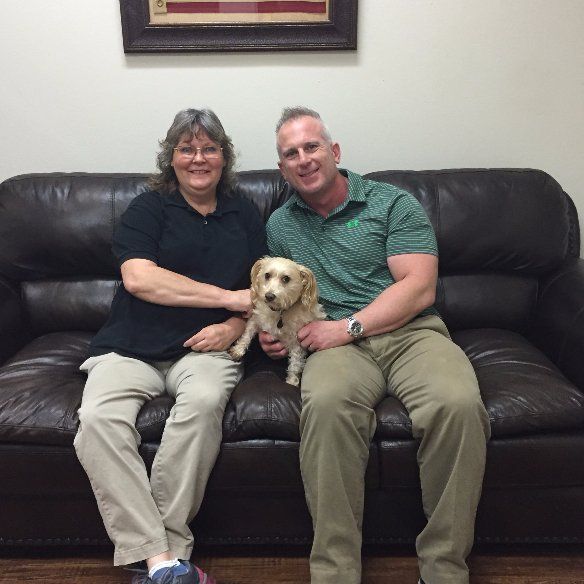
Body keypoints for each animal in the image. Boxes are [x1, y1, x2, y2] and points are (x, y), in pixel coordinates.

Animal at [228, 256, 326, 386]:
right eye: (267, 275)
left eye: (286, 279)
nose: (269, 296)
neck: (279, 312)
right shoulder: (255, 319)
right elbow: (246, 335)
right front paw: (238, 350)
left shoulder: (297, 344)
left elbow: (295, 365)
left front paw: (292, 381)